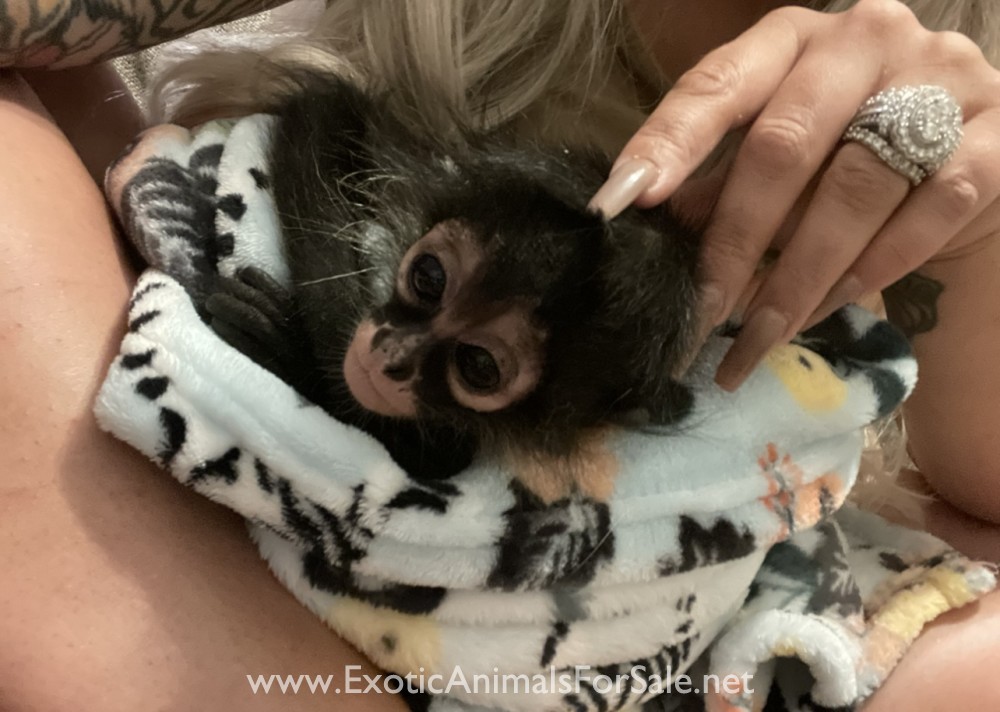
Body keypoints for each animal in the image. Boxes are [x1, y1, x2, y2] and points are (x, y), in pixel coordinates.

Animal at [204, 73, 701, 493]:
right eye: (429, 278)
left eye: (478, 365)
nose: (391, 354)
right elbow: (322, 112)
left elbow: (439, 461)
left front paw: (288, 349)